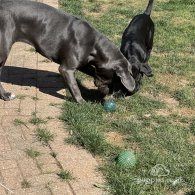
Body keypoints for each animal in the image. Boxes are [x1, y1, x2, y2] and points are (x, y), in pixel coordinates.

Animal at [0, 0, 136, 103]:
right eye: (114, 78)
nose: (110, 92)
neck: (95, 45)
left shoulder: (84, 63)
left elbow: (92, 71)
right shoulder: (67, 69)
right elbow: (75, 87)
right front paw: (82, 102)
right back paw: (6, 96)